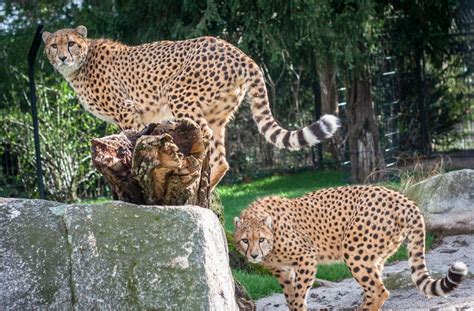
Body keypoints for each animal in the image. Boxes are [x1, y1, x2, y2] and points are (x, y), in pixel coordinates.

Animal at [42, 26, 340, 188]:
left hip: (179, 94)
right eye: (53, 45)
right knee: (221, 156)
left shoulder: (127, 110)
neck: (81, 63)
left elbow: (130, 139)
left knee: (203, 135)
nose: (62, 57)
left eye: (71, 43)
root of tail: (239, 52)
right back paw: (207, 187)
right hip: (218, 114)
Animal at [233, 186, 466, 310]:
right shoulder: (282, 271)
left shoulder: (307, 257)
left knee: (380, 290)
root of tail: (403, 199)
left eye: (261, 240)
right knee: (373, 287)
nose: (253, 255)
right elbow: (290, 297)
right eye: (245, 240)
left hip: (354, 251)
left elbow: (298, 296)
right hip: (374, 254)